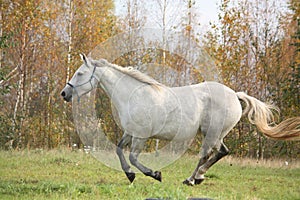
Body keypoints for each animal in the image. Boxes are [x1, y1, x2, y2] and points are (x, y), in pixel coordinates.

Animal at [61, 54, 300, 185]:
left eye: (80, 73)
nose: (64, 94)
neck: (134, 95)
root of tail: (234, 94)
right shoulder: (130, 133)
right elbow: (120, 151)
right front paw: (130, 176)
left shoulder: (141, 136)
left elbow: (133, 157)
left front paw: (154, 174)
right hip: (216, 134)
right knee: (222, 152)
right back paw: (200, 177)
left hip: (211, 133)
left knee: (205, 155)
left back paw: (191, 179)